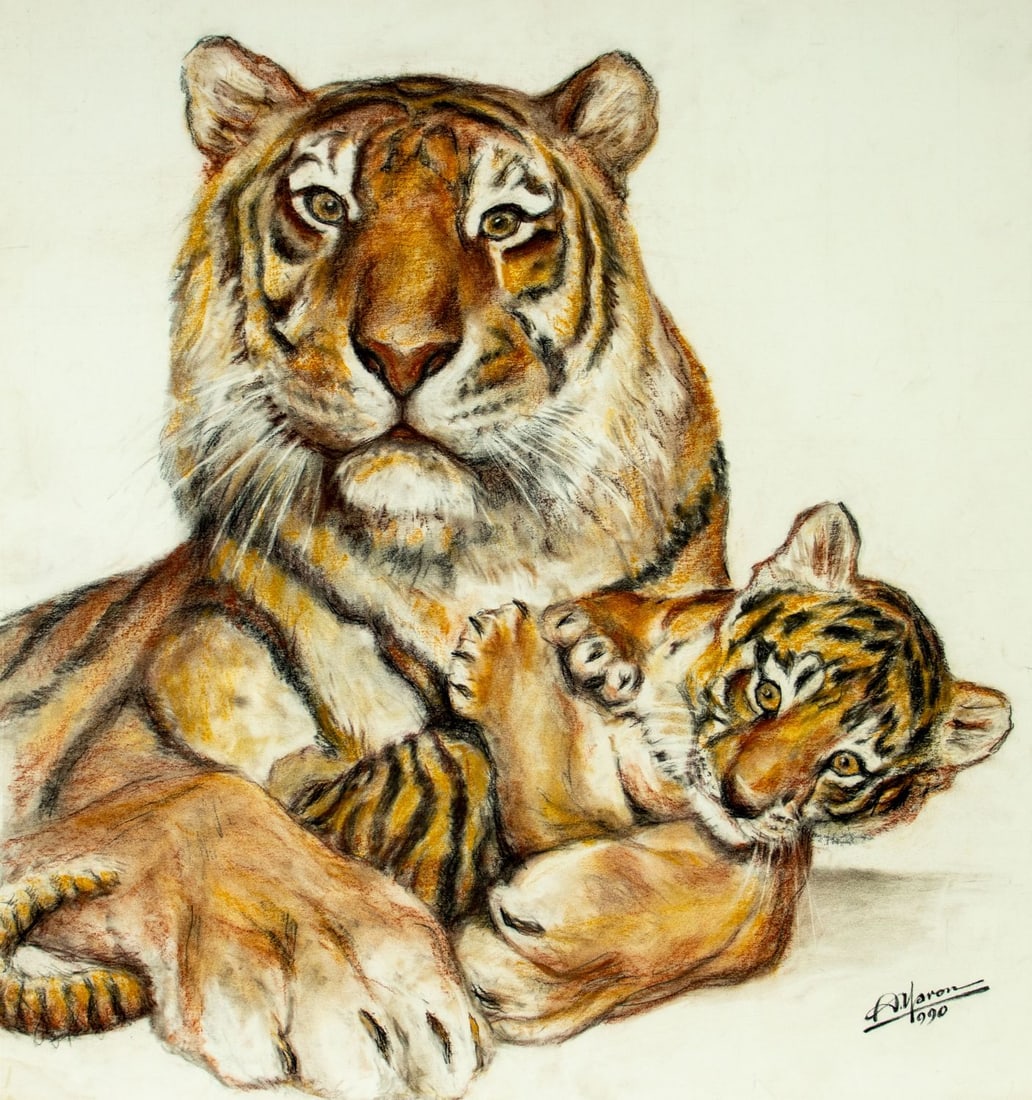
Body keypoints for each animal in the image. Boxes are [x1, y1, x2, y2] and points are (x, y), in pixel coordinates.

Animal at [0, 36, 729, 1098]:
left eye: (503, 222)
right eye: (324, 206)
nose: (402, 352)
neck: (461, 550)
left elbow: (768, 876)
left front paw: (561, 941)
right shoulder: (112, 755)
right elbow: (210, 803)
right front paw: (361, 984)